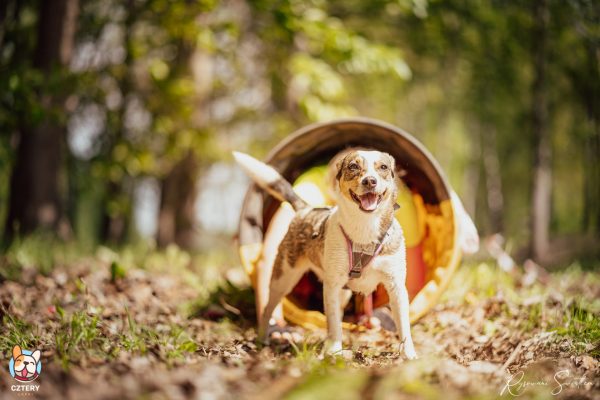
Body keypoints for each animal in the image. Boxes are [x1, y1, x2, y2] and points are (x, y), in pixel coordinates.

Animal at [234, 148, 418, 358]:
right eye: (353, 166)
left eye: (383, 167)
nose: (370, 181)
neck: (365, 228)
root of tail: (306, 209)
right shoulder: (331, 286)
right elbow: (333, 323)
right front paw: (333, 351)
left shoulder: (396, 287)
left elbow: (404, 326)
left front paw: (409, 355)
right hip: (283, 279)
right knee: (268, 309)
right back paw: (262, 338)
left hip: (341, 292)